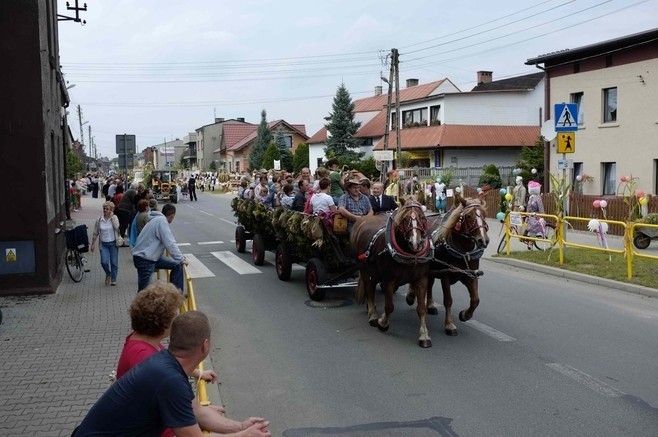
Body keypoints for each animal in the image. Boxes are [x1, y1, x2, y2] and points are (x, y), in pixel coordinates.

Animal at [348, 199, 436, 346]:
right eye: (405, 219)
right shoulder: (388, 280)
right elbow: (389, 306)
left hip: (375, 271)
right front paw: (382, 323)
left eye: (423, 217)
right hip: (363, 268)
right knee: (369, 288)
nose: (416, 243)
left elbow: (421, 309)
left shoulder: (422, 279)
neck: (410, 255)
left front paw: (424, 335)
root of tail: (363, 219)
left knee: (372, 284)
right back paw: (372, 314)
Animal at [404, 196, 486, 336]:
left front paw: (465, 315)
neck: (463, 251)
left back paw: (430, 305)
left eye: (484, 215)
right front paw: (449, 325)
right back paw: (411, 295)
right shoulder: (446, 275)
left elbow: (475, 300)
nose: (484, 240)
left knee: (430, 284)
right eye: (469, 216)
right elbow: (448, 300)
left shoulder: (471, 275)